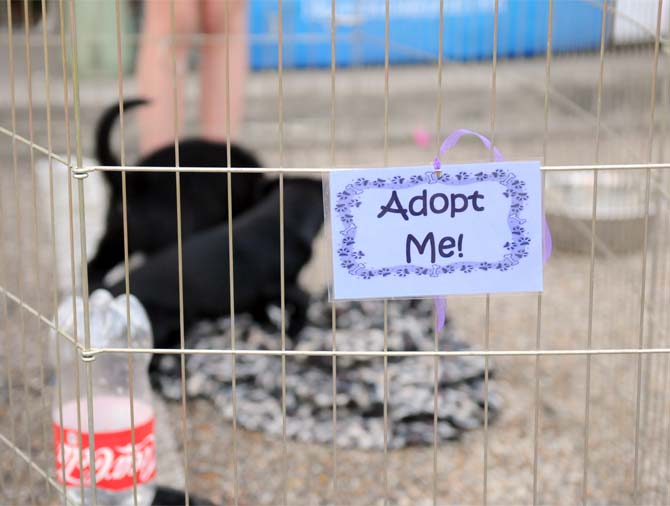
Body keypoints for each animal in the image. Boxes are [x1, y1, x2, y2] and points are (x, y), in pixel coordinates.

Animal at [107, 178, 326, 352]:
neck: (282, 218)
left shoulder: (258, 296)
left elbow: (261, 310)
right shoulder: (275, 285)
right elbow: (303, 298)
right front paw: (294, 328)